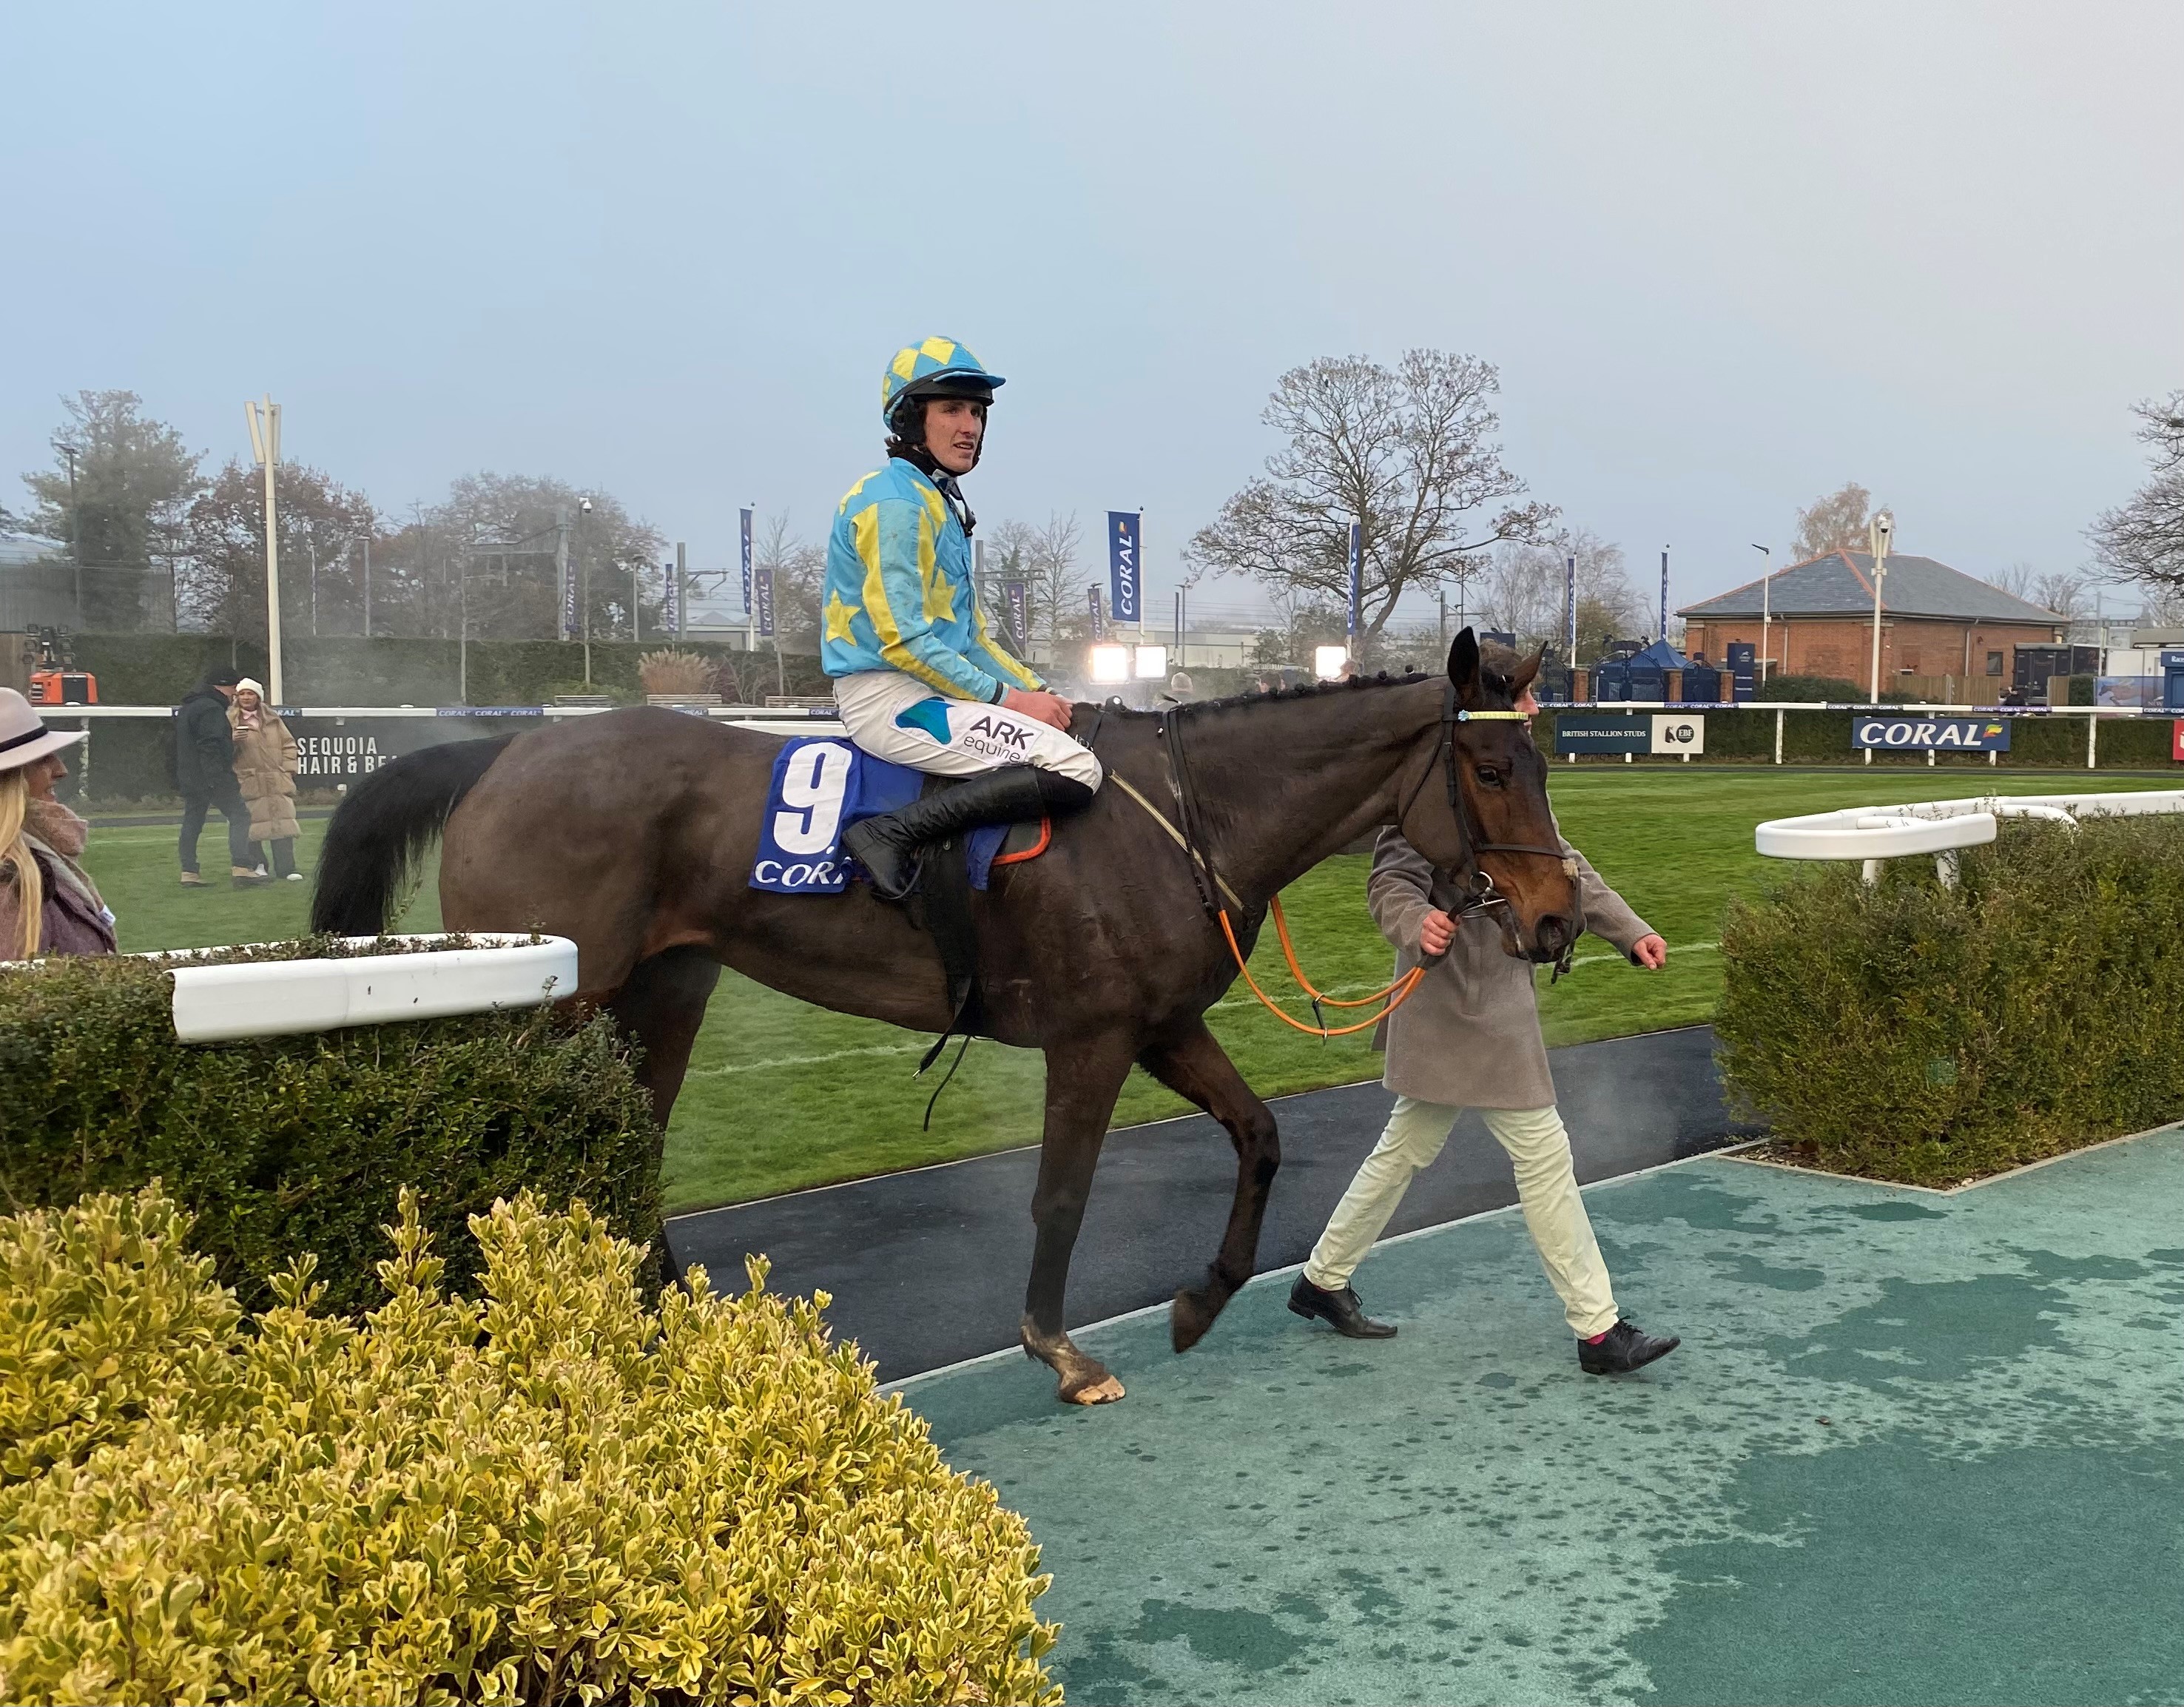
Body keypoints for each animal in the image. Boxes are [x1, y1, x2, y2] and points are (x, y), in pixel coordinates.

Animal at [312, 628, 1572, 1405]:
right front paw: (1061, 1349)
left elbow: (1260, 1135)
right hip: (554, 1013)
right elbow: (1062, 1192)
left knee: (630, 1149)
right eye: (1492, 768)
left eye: (1545, 759)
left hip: (660, 995)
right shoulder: (1092, 1039)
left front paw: (1200, 1300)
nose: (1557, 915)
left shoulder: (1163, 1024)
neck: (1180, 812)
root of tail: (508, 746)